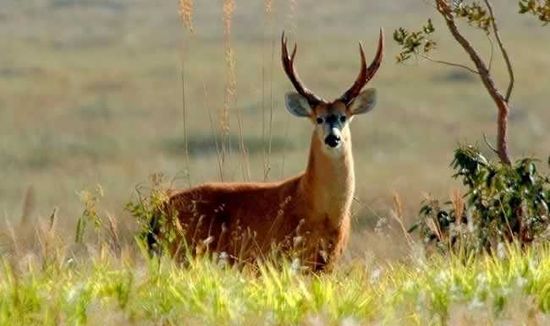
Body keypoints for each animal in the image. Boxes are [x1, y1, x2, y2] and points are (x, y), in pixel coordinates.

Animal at [149, 30, 386, 272]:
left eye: (343, 117)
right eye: (318, 118)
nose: (333, 138)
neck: (321, 211)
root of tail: (158, 212)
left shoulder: (328, 262)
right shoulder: (284, 254)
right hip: (185, 254)